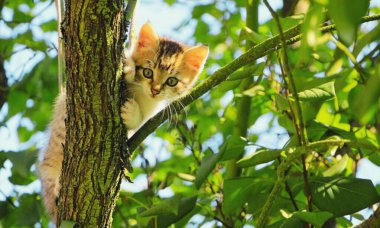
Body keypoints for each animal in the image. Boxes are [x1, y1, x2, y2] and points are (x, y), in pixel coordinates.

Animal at [38, 22, 209, 222]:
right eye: (148, 72)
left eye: (172, 81)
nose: (155, 90)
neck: (141, 93)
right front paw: (128, 68)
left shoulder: (151, 110)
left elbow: (140, 121)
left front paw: (132, 113)